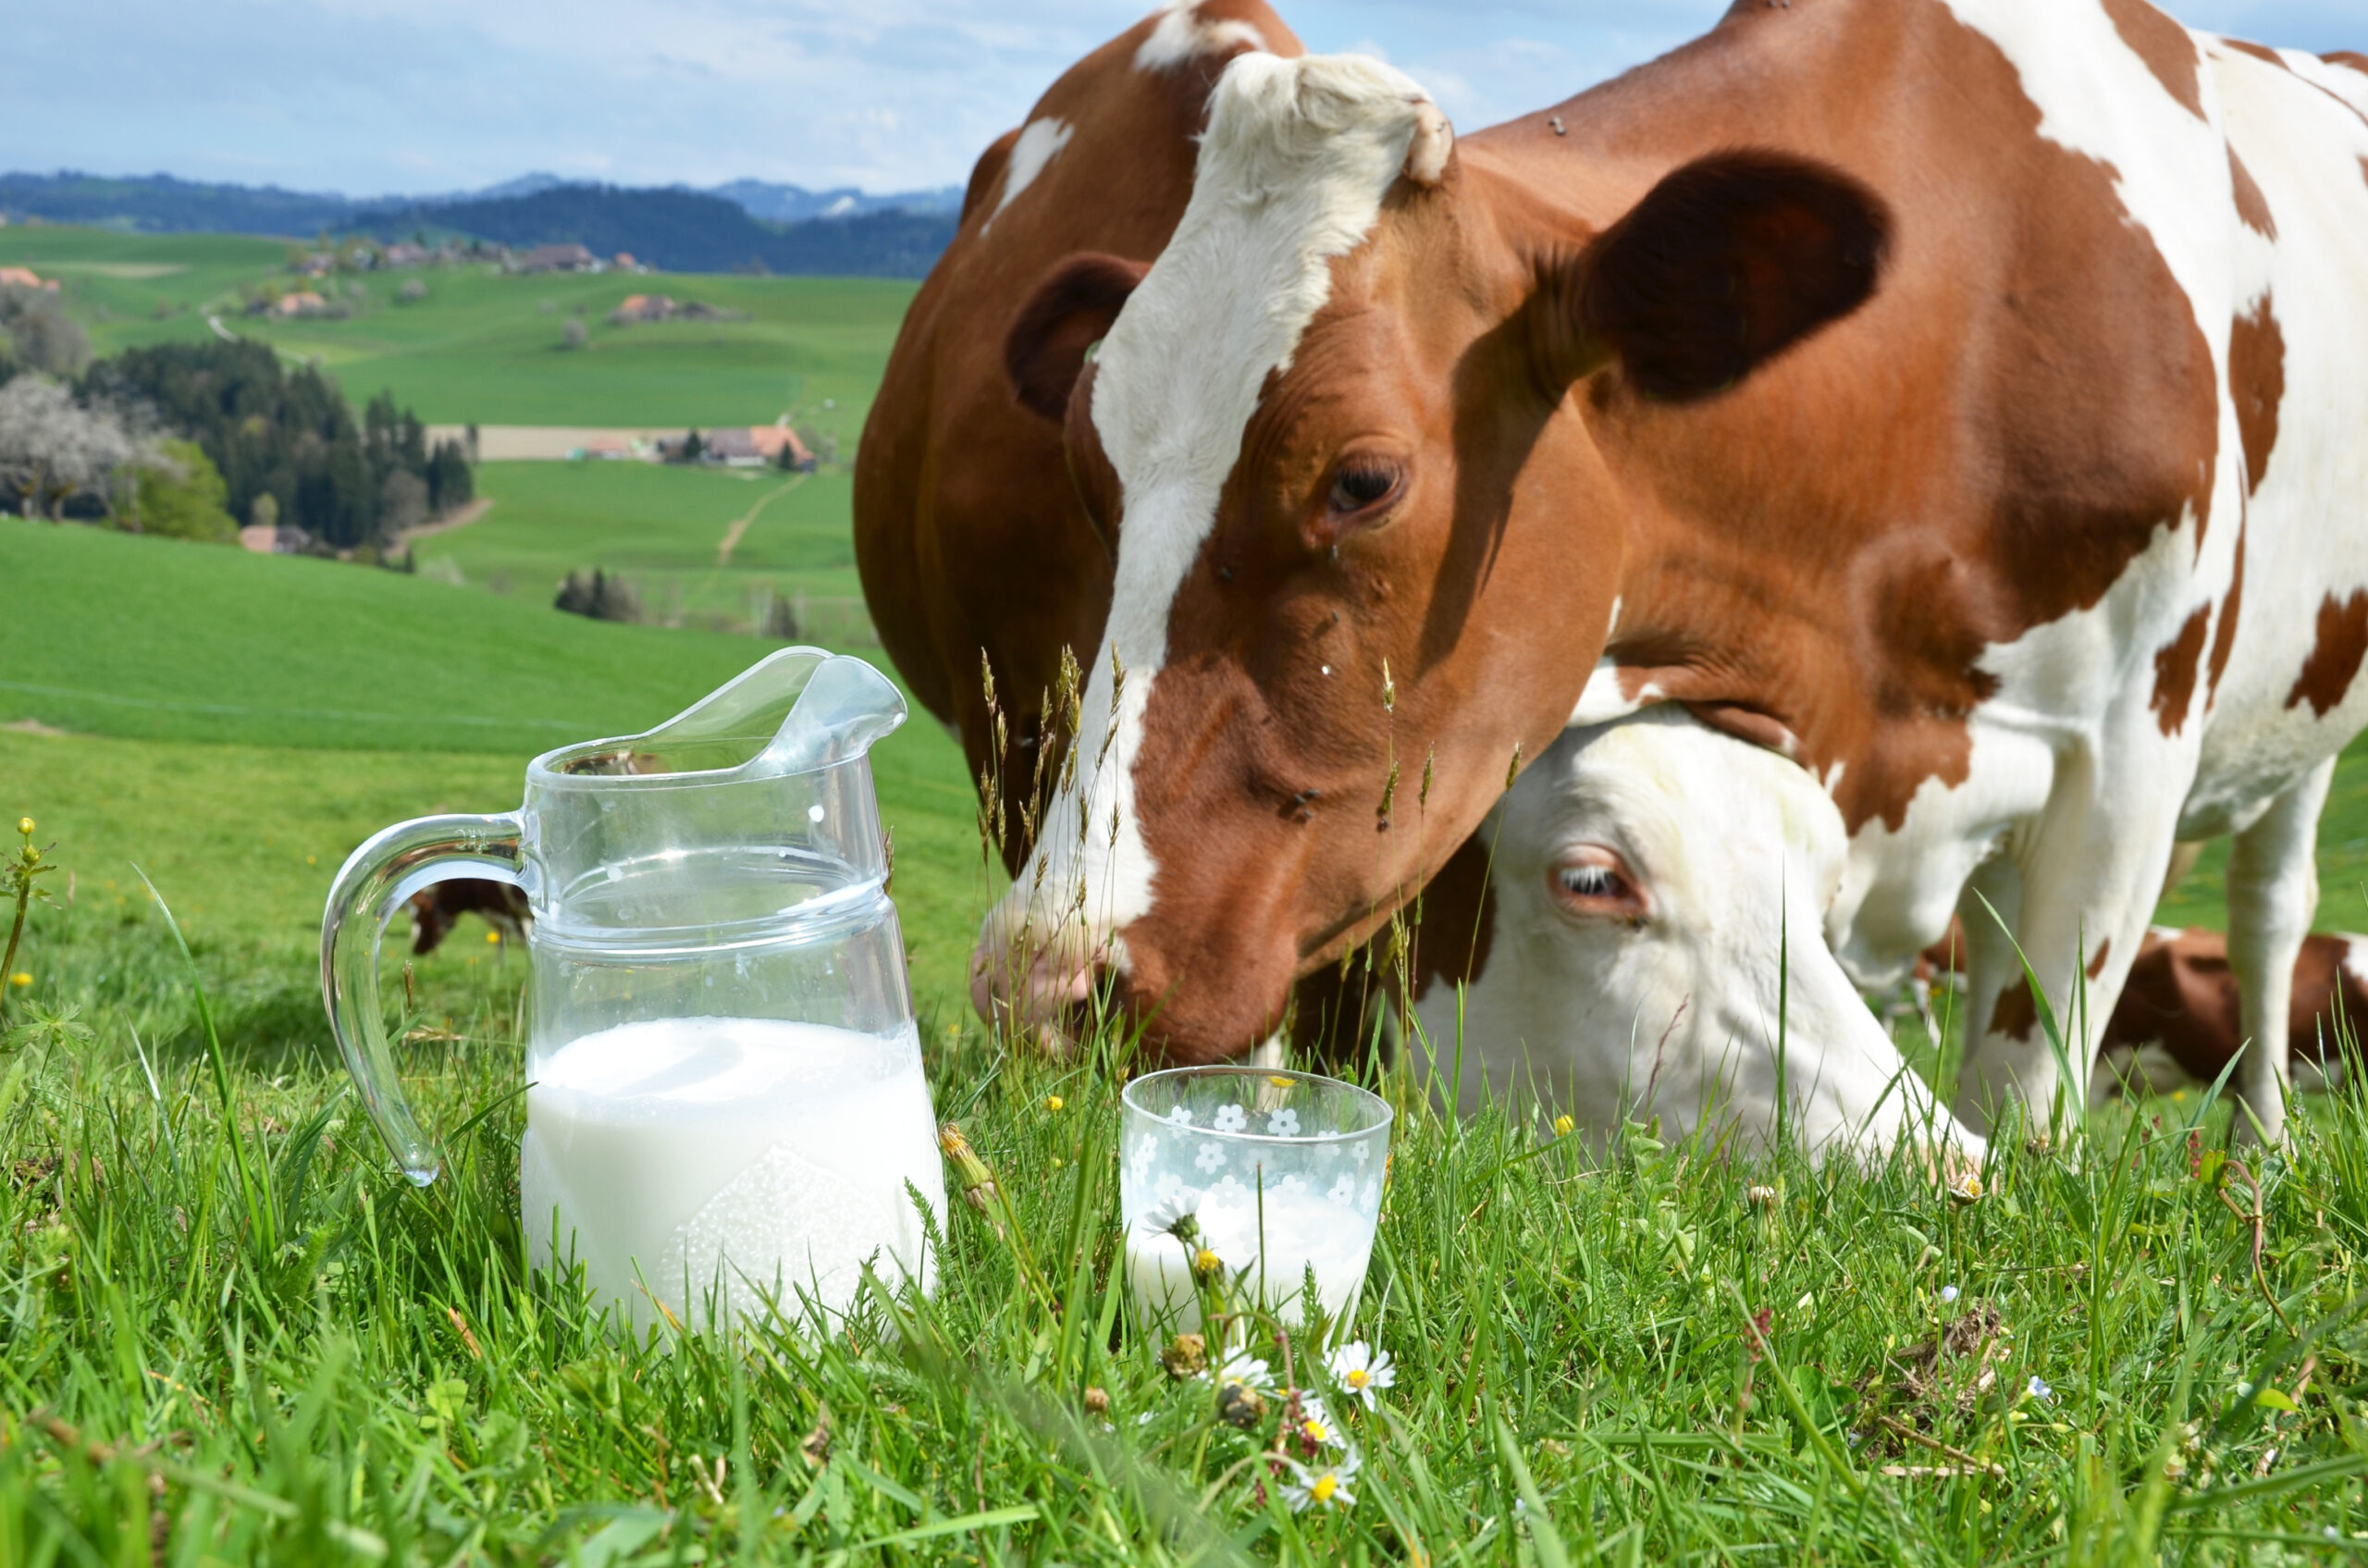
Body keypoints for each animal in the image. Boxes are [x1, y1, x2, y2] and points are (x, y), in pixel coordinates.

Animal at [980, 6, 2368, 1151]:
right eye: (1091, 467)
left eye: (1362, 479)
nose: (1045, 975)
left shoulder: (2128, 765)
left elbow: (2026, 1098)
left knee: (2271, 910)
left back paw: (2260, 1152)